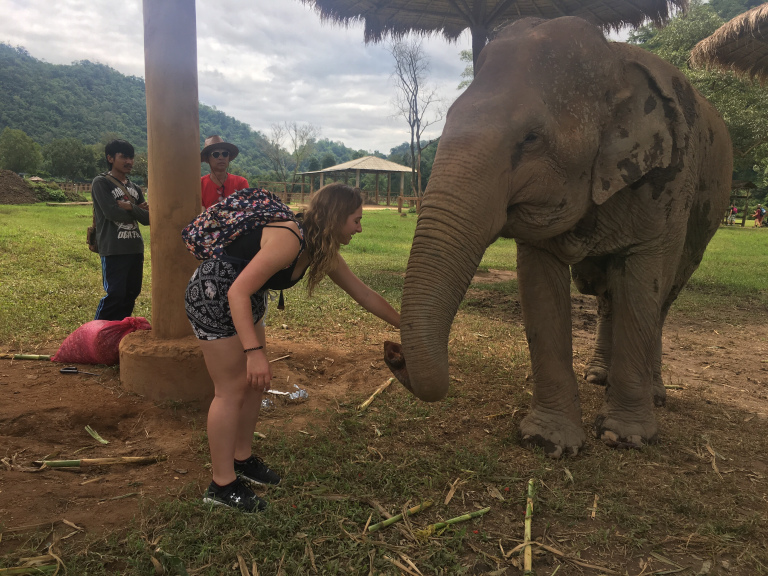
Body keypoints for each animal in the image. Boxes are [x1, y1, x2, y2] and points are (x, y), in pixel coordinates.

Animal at [384, 15, 732, 460]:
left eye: (531, 138)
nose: (393, 353)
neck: (614, 62)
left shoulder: (667, 179)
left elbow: (645, 280)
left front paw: (625, 437)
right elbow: (540, 287)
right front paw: (548, 441)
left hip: (704, 215)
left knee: (664, 296)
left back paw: (654, 395)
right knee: (606, 293)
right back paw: (597, 375)